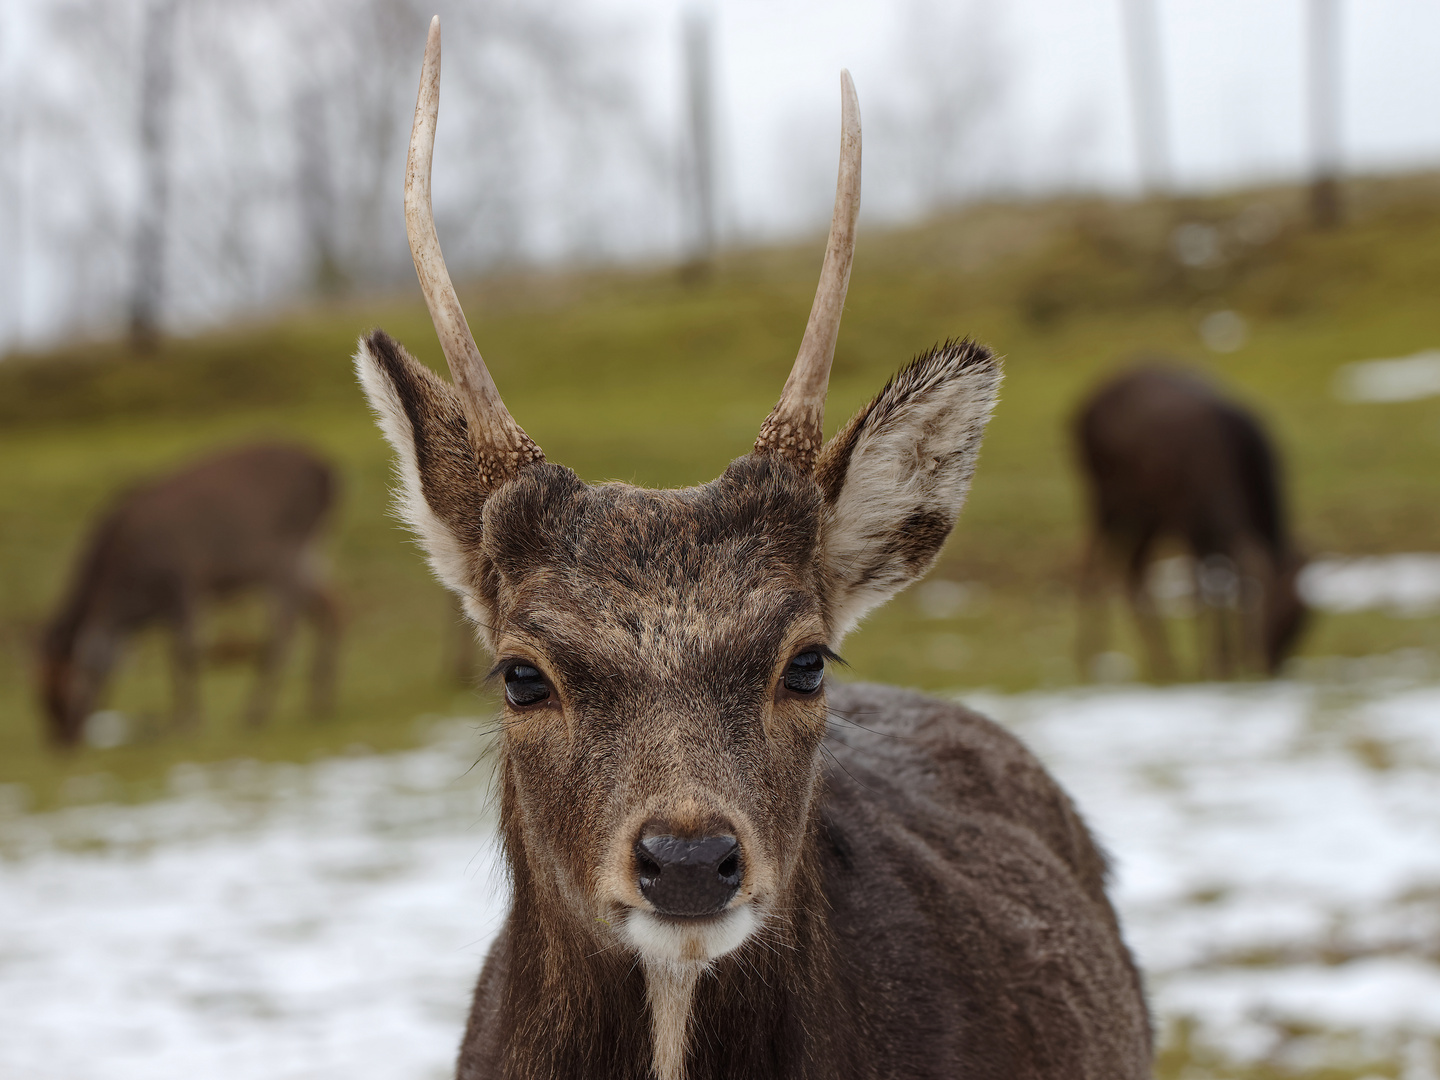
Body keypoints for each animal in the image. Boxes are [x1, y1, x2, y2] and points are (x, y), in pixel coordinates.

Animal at [40, 443, 338, 748]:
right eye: (40, 696)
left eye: (72, 691)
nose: (62, 741)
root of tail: (330, 473)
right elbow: (174, 659)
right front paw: (179, 720)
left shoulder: (184, 583)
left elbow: (186, 654)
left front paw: (189, 722)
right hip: (305, 555)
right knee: (335, 605)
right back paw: (320, 703)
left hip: (284, 555)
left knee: (286, 630)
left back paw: (257, 712)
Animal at [1077, 368, 1313, 679]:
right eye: (1279, 610)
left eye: (1301, 616)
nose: (1269, 665)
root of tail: (1079, 413)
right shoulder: (1188, 519)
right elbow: (1202, 591)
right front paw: (1210, 665)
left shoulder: (1210, 529)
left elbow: (1219, 585)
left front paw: (1223, 661)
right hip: (1104, 495)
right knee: (1090, 560)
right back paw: (1089, 658)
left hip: (1147, 515)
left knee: (1133, 568)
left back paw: (1164, 662)